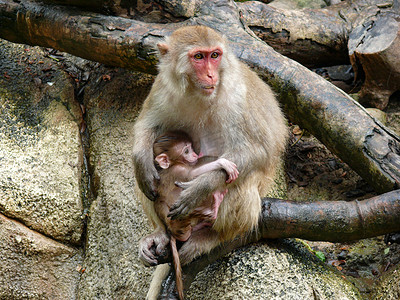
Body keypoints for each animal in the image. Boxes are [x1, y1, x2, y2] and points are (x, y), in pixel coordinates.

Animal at [134, 24, 288, 276]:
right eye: (199, 57)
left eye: (214, 55)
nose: (210, 75)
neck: (197, 93)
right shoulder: (162, 87)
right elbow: (148, 125)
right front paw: (141, 162)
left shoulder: (237, 98)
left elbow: (257, 151)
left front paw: (200, 187)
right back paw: (161, 234)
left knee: (243, 180)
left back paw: (210, 236)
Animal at [152, 132, 238, 300]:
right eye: (186, 151)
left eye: (191, 147)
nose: (194, 154)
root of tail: (171, 229)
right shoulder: (179, 169)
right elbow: (192, 174)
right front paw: (222, 163)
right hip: (182, 219)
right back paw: (213, 207)